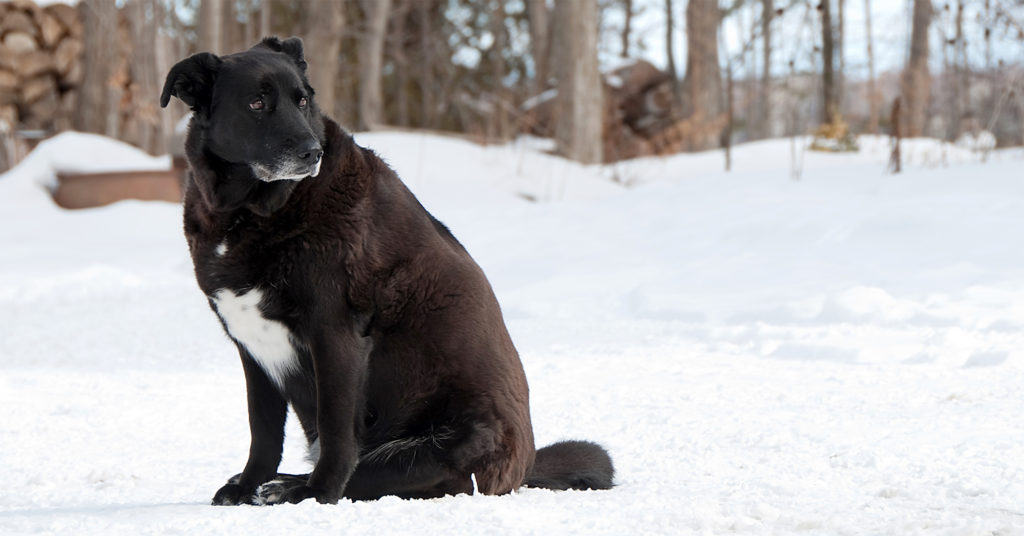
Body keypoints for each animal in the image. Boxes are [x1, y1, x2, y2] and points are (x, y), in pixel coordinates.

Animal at [158, 35, 606, 506]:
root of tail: (523, 470)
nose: (312, 153)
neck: (251, 212)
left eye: (302, 100)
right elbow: (262, 432)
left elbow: (336, 431)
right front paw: (246, 486)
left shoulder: (335, 334)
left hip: (451, 441)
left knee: (398, 475)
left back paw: (293, 486)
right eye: (257, 103)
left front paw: (317, 493)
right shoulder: (251, 348)